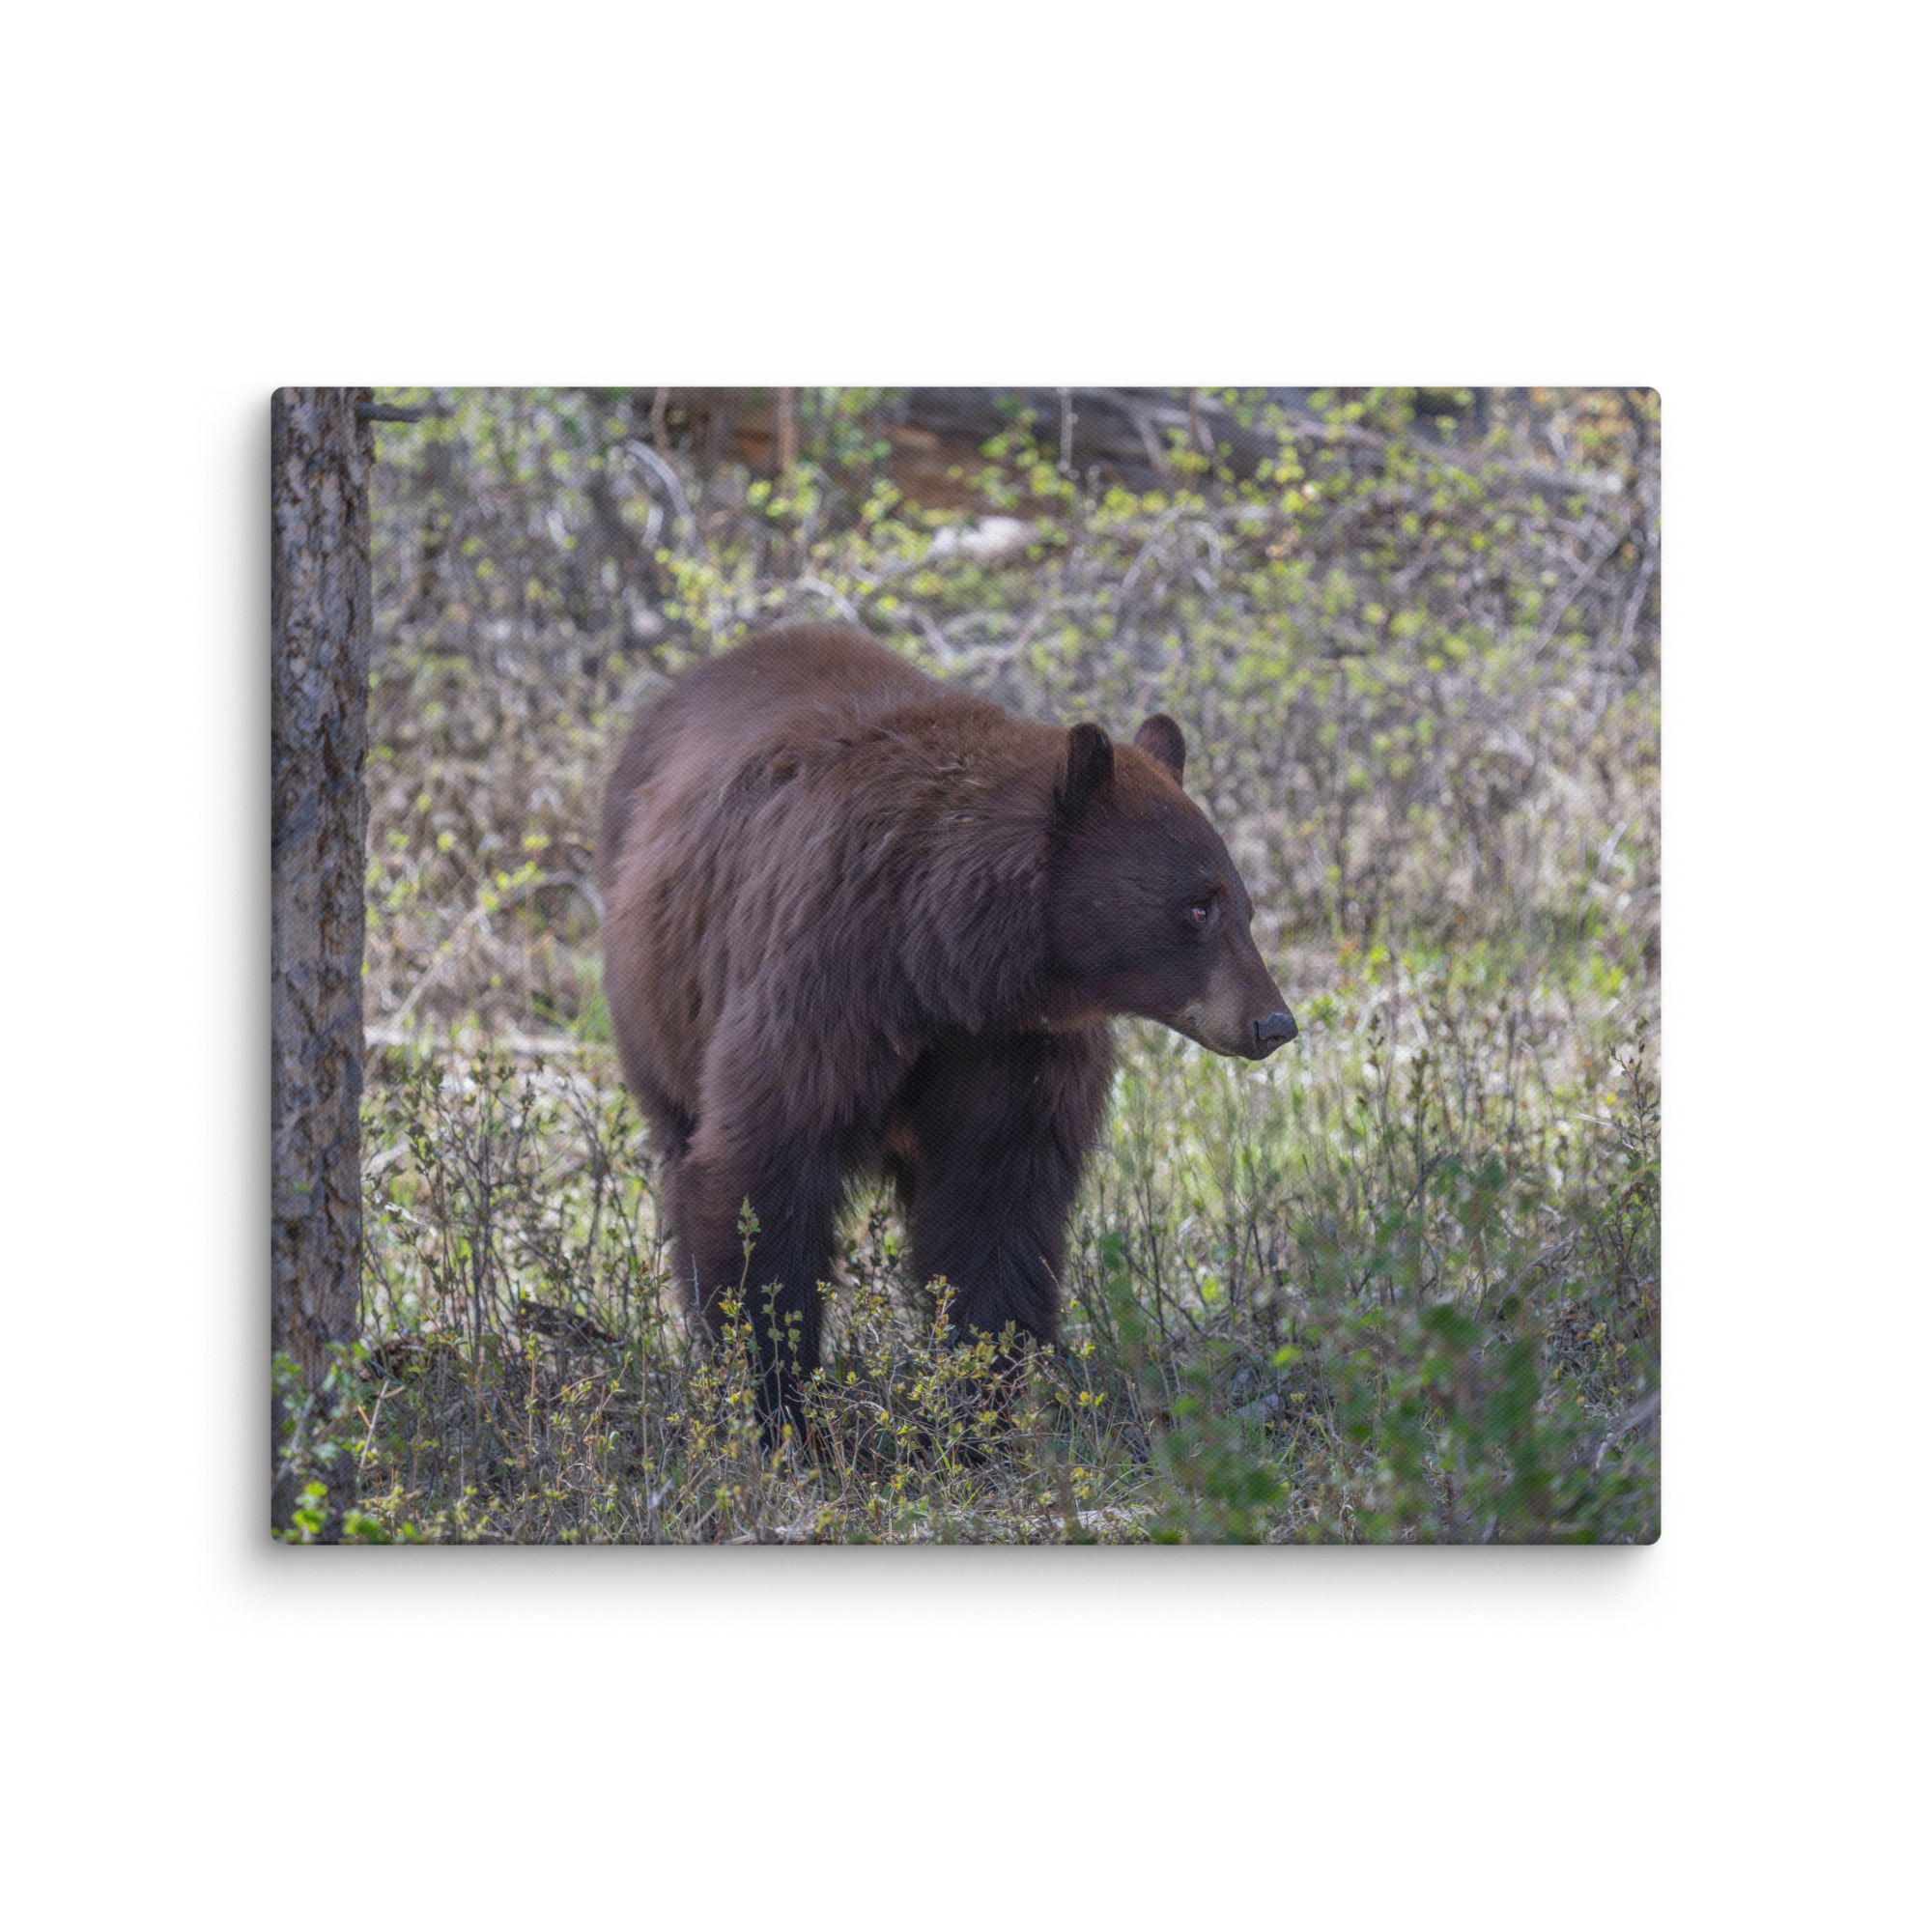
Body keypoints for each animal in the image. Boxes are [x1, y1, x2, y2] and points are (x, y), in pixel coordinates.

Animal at [597, 622, 1295, 1427]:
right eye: (1197, 907)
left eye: (1244, 905)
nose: (1274, 1022)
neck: (944, 965)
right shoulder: (824, 985)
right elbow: (762, 1169)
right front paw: (779, 1401)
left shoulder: (1016, 1047)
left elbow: (995, 1206)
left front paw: (978, 1405)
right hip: (657, 1002)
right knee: (680, 1143)